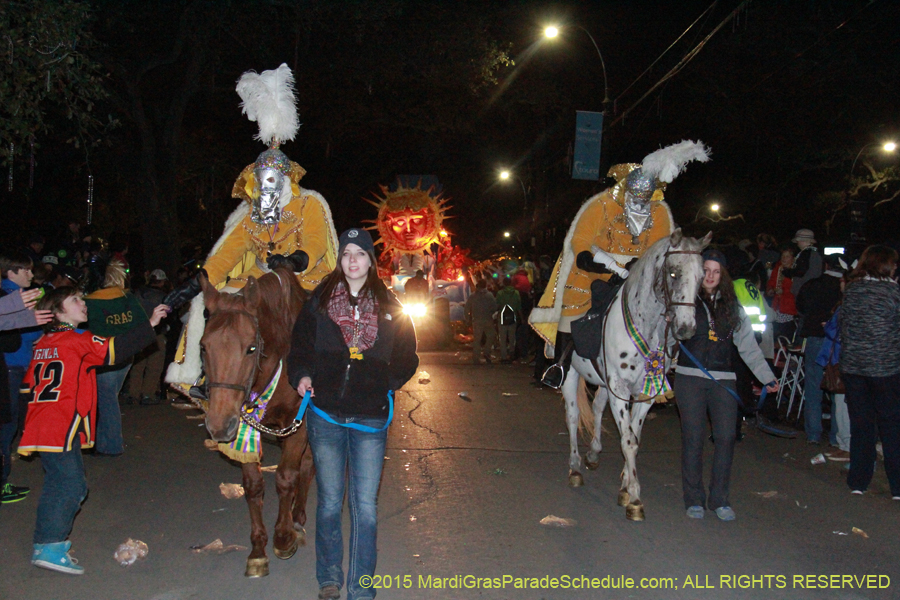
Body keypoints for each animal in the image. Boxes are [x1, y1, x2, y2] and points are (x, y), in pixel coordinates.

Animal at [199, 268, 314, 576]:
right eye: (203, 347)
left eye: (251, 348)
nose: (218, 425)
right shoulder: (244, 424)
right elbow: (253, 486)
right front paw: (258, 549)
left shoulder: (300, 424)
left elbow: (287, 477)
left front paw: (284, 537)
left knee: (307, 466)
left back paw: (298, 518)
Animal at [564, 230, 712, 520]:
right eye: (673, 273)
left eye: (702, 276)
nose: (686, 329)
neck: (646, 326)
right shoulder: (620, 389)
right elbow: (629, 440)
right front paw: (634, 497)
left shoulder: (645, 392)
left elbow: (634, 435)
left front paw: (624, 485)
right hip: (571, 374)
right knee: (573, 415)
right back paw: (575, 467)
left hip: (603, 382)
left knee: (597, 408)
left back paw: (594, 453)